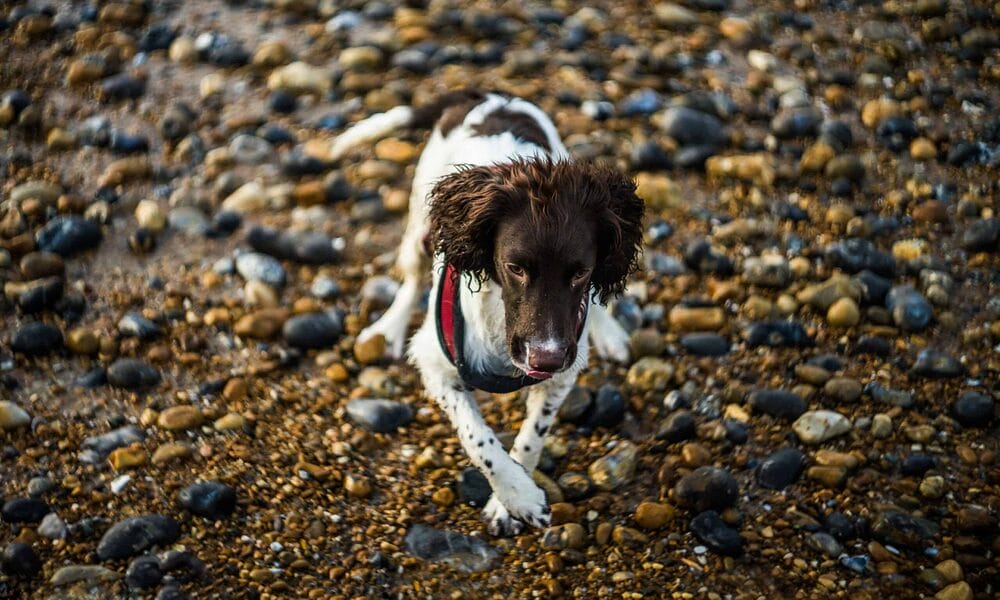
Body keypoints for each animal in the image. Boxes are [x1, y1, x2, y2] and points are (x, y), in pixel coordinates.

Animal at [328, 90, 640, 536]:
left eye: (580, 272)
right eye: (515, 267)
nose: (545, 358)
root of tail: (491, 96)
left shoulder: (561, 375)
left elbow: (532, 436)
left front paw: (508, 502)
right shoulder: (438, 368)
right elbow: (478, 440)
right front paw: (519, 495)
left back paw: (609, 332)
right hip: (422, 227)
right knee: (410, 280)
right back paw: (386, 330)